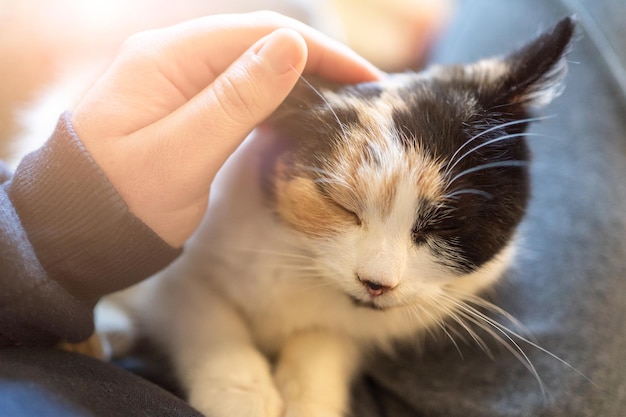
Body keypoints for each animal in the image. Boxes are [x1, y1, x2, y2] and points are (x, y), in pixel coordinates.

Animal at [102, 16, 576, 416]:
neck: (301, 267)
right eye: (340, 205)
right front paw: (242, 396)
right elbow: (205, 314)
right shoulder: (177, 267)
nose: (377, 283)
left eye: (447, 222)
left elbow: (325, 342)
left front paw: (307, 397)